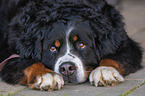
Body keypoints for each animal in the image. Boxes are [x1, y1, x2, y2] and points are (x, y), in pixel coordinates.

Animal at [0, 0, 143, 91]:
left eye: (81, 45)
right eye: (52, 48)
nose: (67, 68)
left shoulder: (125, 43)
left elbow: (112, 56)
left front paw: (104, 70)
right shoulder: (9, 53)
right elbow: (28, 62)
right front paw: (46, 75)